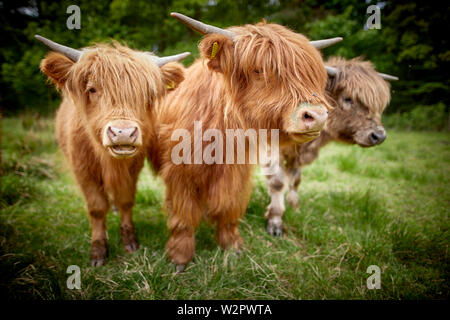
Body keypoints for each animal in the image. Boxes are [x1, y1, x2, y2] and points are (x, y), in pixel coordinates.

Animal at [35, 35, 188, 266]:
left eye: (148, 94)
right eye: (92, 89)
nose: (123, 133)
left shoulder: (133, 168)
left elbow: (126, 200)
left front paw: (130, 242)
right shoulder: (82, 170)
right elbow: (97, 208)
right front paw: (98, 251)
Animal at [148, 13, 342, 272]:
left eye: (311, 74)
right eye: (259, 70)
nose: (317, 116)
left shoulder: (236, 172)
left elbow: (230, 209)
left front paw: (232, 246)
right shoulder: (181, 174)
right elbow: (184, 215)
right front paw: (180, 257)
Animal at [264, 56, 398, 235]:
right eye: (348, 98)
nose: (379, 136)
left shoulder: (298, 157)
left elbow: (295, 179)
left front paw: (294, 206)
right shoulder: (270, 149)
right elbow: (277, 182)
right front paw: (275, 220)